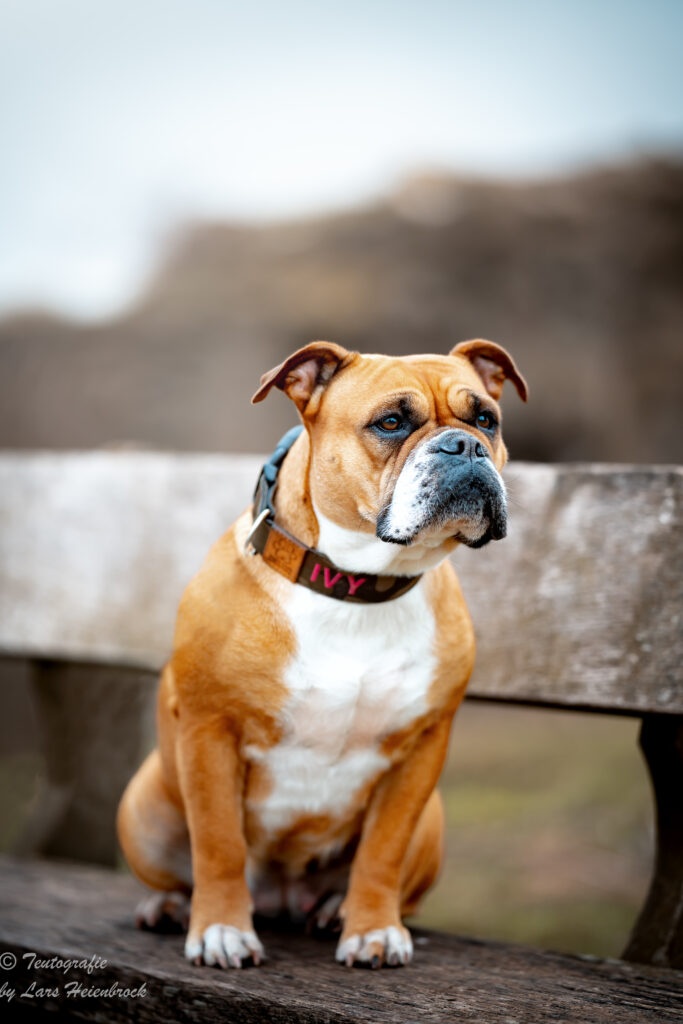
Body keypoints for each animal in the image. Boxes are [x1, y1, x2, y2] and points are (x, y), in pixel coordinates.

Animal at [116, 337, 528, 966]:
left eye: (486, 419)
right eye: (390, 423)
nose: (464, 446)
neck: (354, 586)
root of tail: (284, 897)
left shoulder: (421, 751)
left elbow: (382, 850)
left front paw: (372, 930)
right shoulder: (210, 733)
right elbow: (217, 842)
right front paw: (221, 929)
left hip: (431, 820)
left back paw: (336, 910)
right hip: (143, 807)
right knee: (182, 868)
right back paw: (170, 906)